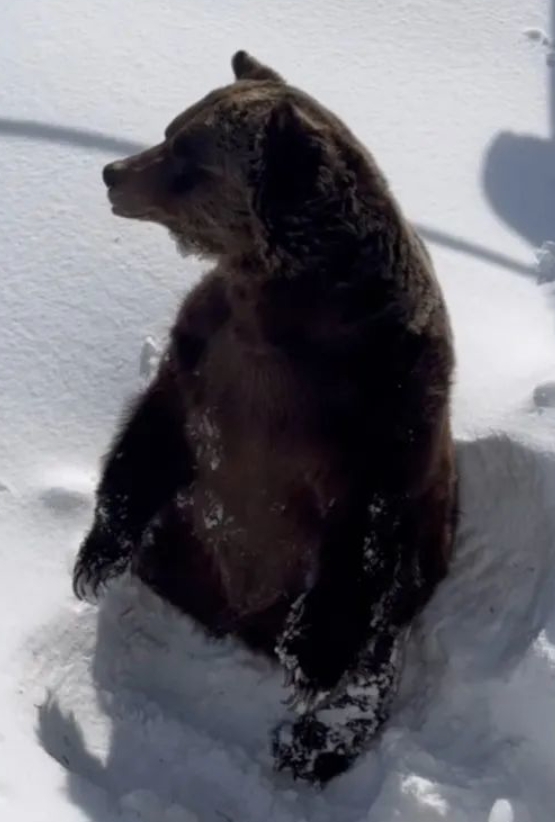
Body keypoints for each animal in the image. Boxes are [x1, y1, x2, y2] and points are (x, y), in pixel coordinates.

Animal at [73, 50, 456, 784]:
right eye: (173, 128)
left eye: (185, 153)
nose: (112, 172)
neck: (285, 304)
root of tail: (235, 620)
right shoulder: (207, 353)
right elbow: (153, 434)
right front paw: (95, 556)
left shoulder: (381, 406)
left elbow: (364, 534)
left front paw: (311, 662)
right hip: (186, 540)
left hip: (416, 559)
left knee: (376, 648)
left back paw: (311, 741)